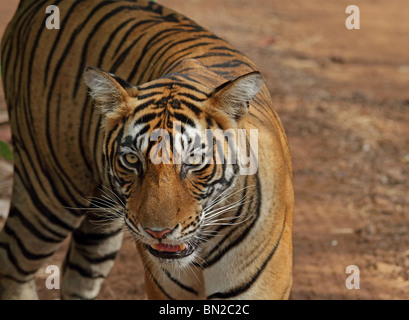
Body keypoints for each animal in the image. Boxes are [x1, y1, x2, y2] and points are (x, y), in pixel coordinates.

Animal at [0, 0, 294, 300]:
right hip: (47, 194)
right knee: (12, 266)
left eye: (193, 161)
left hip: (100, 226)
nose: (158, 233)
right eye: (132, 159)